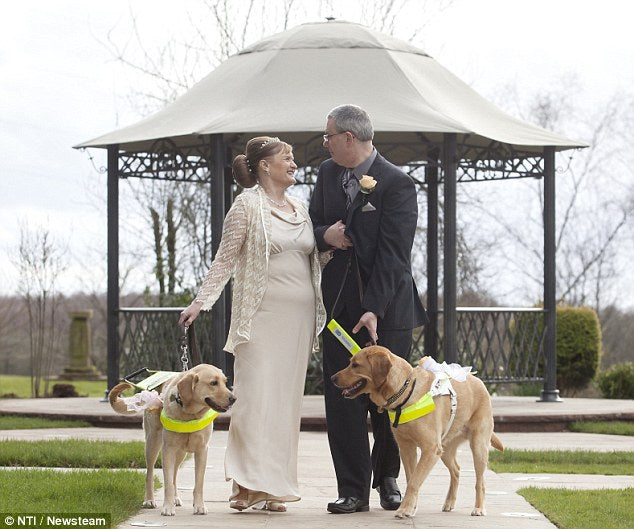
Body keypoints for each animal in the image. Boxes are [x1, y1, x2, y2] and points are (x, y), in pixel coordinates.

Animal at [109, 364, 235, 516]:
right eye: (213, 383)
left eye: (225, 382)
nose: (234, 398)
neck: (190, 415)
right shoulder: (168, 449)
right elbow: (167, 482)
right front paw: (168, 507)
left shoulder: (202, 450)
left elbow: (198, 483)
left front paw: (199, 506)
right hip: (152, 443)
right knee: (150, 474)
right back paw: (149, 500)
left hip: (181, 453)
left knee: (174, 474)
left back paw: (175, 498)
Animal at [330, 344, 504, 516]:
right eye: (350, 363)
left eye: (355, 365)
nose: (332, 378)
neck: (405, 392)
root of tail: (479, 381)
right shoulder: (407, 448)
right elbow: (411, 479)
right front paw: (410, 507)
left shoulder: (430, 449)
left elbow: (414, 481)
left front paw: (405, 509)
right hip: (445, 448)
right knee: (456, 470)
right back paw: (449, 502)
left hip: (478, 445)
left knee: (480, 481)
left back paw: (479, 508)